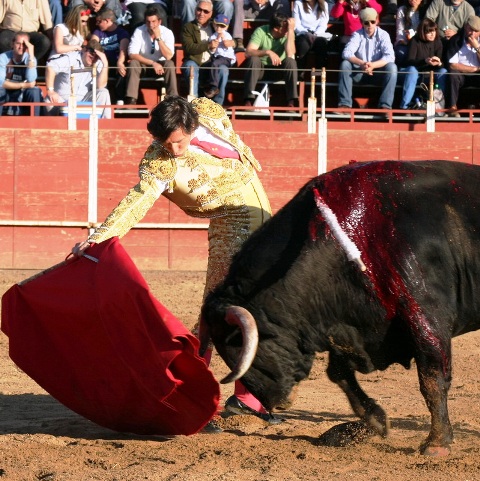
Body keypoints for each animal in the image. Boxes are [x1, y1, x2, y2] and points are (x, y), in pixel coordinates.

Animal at [201, 160, 480, 454]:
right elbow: (338, 373)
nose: (272, 402)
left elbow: (431, 378)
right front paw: (366, 426)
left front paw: (437, 442)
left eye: (238, 346)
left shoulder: (426, 315)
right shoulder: (345, 327)